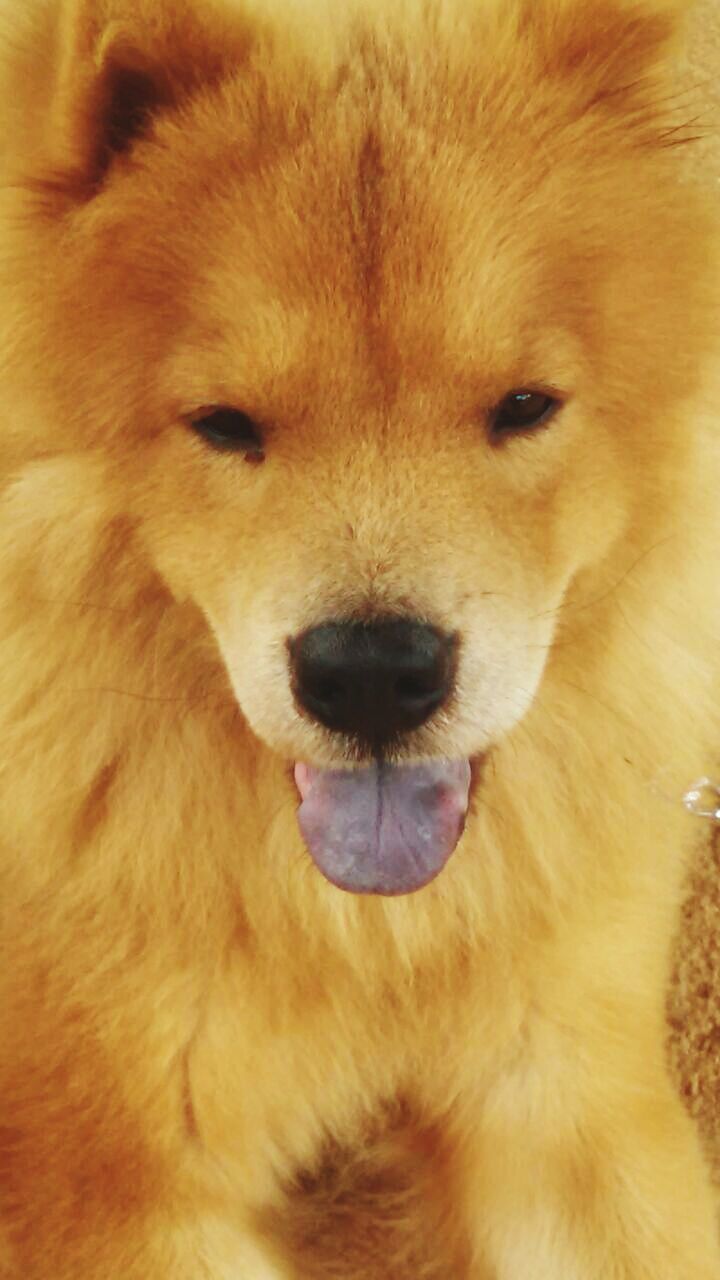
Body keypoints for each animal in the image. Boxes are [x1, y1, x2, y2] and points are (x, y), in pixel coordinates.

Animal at [1, 0, 717, 1274]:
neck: (373, 935)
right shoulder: (114, 1184)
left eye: (524, 408)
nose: (375, 674)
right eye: (225, 425)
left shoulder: (563, 1091)